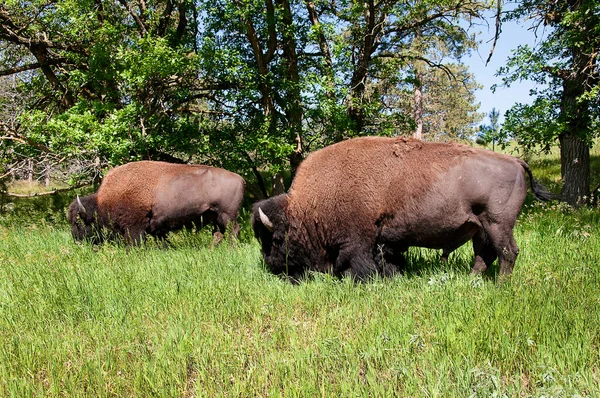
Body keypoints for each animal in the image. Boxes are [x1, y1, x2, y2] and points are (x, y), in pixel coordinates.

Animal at [66, 160, 244, 244]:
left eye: (77, 222)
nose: (77, 241)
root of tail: (240, 179)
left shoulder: (134, 227)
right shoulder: (156, 229)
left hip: (226, 215)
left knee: (233, 230)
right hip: (215, 217)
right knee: (219, 234)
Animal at [252, 136, 552, 280]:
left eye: (275, 239)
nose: (272, 267)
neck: (309, 206)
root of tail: (516, 161)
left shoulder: (357, 242)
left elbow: (359, 264)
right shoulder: (386, 242)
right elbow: (389, 260)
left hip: (498, 223)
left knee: (507, 253)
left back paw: (500, 285)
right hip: (480, 228)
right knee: (483, 256)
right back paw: (471, 282)